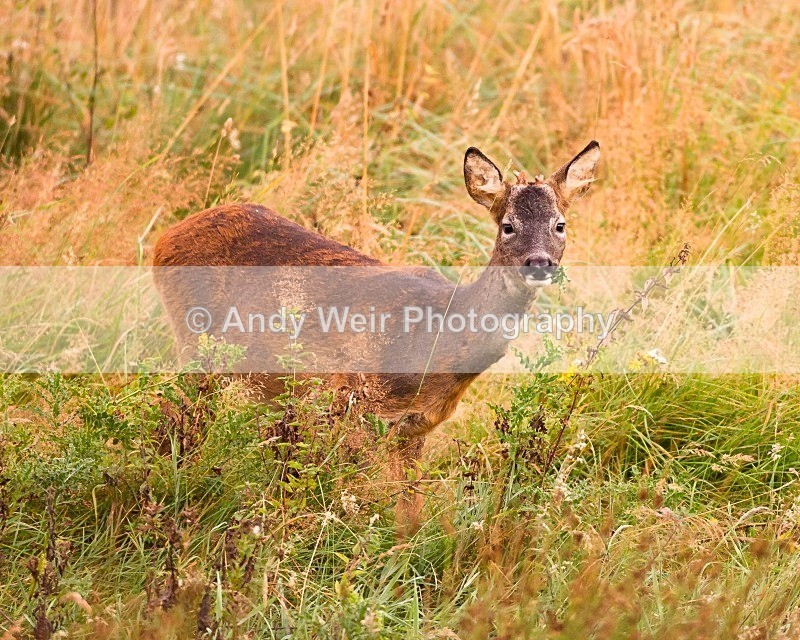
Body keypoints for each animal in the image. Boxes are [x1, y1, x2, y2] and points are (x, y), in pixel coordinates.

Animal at [152, 141, 600, 532]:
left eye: (560, 225)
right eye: (508, 226)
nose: (539, 262)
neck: (435, 341)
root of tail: (165, 237)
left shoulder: (414, 429)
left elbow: (408, 518)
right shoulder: (355, 407)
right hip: (195, 344)